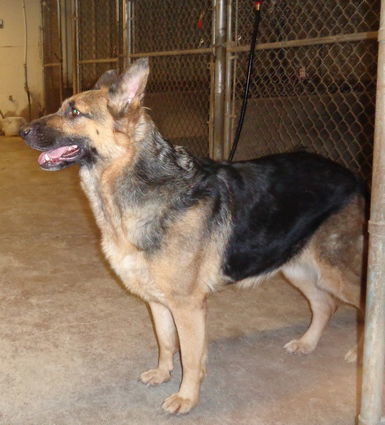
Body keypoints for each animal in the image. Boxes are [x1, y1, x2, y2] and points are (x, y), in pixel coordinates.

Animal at [21, 58, 366, 412]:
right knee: (325, 306)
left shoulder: (188, 306)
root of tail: (349, 174)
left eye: (75, 112)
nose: (22, 131)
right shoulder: (157, 300)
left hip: (332, 272)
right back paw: (307, 343)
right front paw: (163, 373)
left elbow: (190, 355)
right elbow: (164, 341)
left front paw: (186, 397)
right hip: (297, 268)